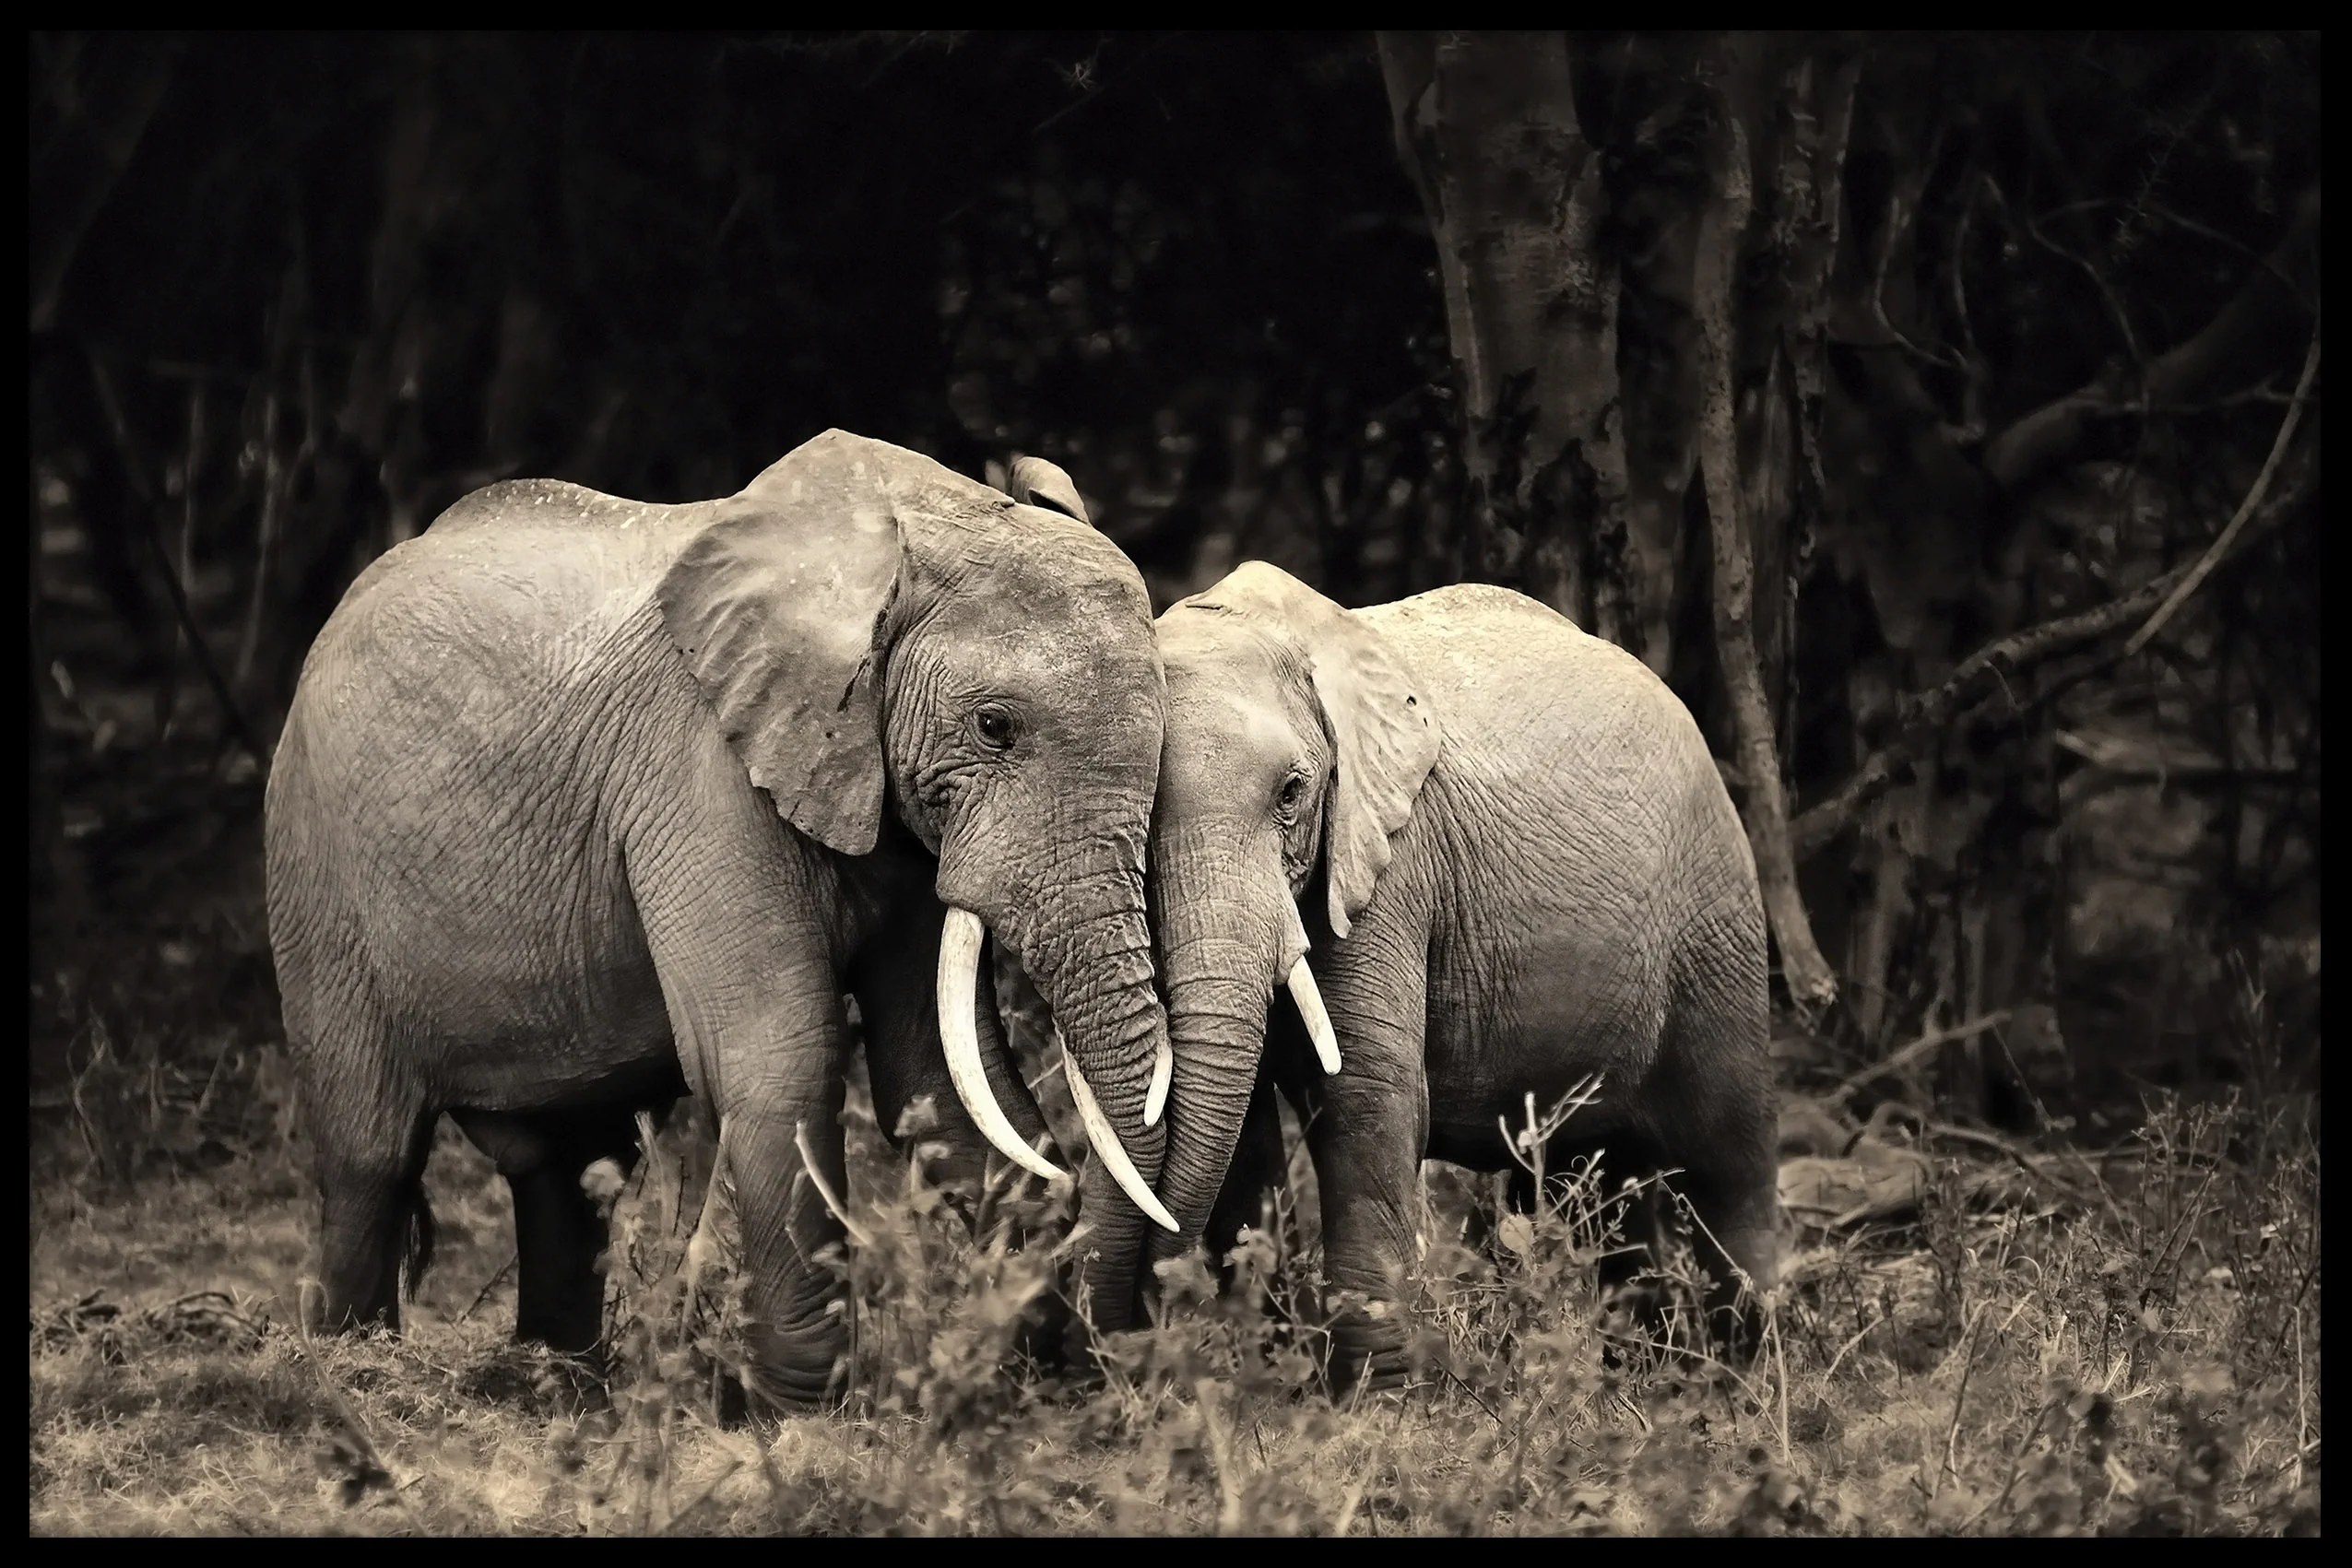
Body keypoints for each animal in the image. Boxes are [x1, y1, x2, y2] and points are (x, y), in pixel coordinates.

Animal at [264, 429, 1183, 1410]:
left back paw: (559, 1389)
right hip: (316, 872)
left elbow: (937, 1079)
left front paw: (1026, 1382)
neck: (903, 534)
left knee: (567, 1171)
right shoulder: (704, 772)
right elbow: (782, 1057)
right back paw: (348, 1374)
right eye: (995, 726)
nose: (1110, 1358)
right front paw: (798, 1416)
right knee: (371, 1155)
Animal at [1134, 562, 1780, 1392]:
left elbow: (1364, 1092)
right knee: (1605, 1174)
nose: (1141, 1320)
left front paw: (1376, 1395)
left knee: (1728, 1154)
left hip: (1714, 916)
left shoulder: (1391, 861)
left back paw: (1751, 1379)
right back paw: (1649, 1377)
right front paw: (1275, 1383)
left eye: (1291, 793)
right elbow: (1239, 1120)